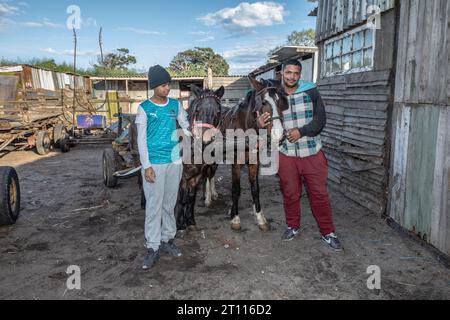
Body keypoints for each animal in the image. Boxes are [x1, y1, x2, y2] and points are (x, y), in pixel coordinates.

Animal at [219, 77, 288, 232]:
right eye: (264, 102)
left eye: (281, 101)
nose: (279, 134)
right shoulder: (236, 164)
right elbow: (236, 189)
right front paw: (235, 218)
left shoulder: (254, 163)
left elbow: (255, 189)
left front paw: (260, 218)